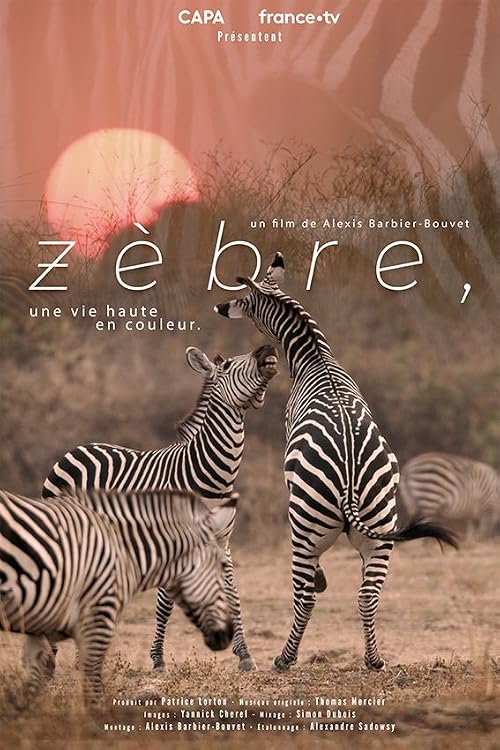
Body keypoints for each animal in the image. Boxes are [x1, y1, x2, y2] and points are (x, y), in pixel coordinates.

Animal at [0, 487, 233, 708]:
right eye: (221, 567)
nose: (227, 635)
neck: (126, 553)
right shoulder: (99, 616)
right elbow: (92, 686)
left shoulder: (39, 628)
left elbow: (35, 680)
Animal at [42, 344, 278, 672]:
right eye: (229, 365)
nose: (267, 350)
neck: (212, 474)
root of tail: (76, 448)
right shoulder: (174, 540)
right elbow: (165, 603)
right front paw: (157, 660)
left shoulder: (223, 541)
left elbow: (233, 595)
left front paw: (245, 655)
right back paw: (51, 658)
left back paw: (79, 658)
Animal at [215, 253, 458, 672]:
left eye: (242, 300)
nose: (219, 307)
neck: (317, 357)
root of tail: (348, 482)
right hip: (380, 532)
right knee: (368, 595)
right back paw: (374, 659)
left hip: (305, 525)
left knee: (305, 594)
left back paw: (285, 658)